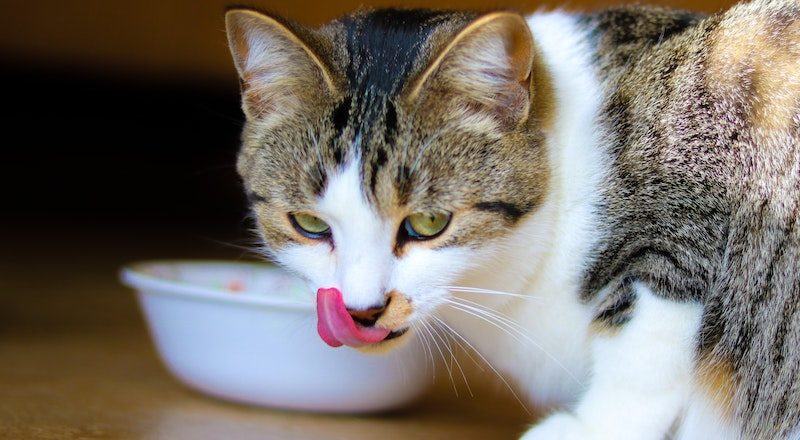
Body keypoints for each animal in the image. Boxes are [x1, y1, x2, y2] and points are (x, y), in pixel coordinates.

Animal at [223, 0, 800, 436]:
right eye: (310, 224)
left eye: (429, 223)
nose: (362, 311)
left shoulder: (689, 209)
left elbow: (643, 352)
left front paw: (589, 428)